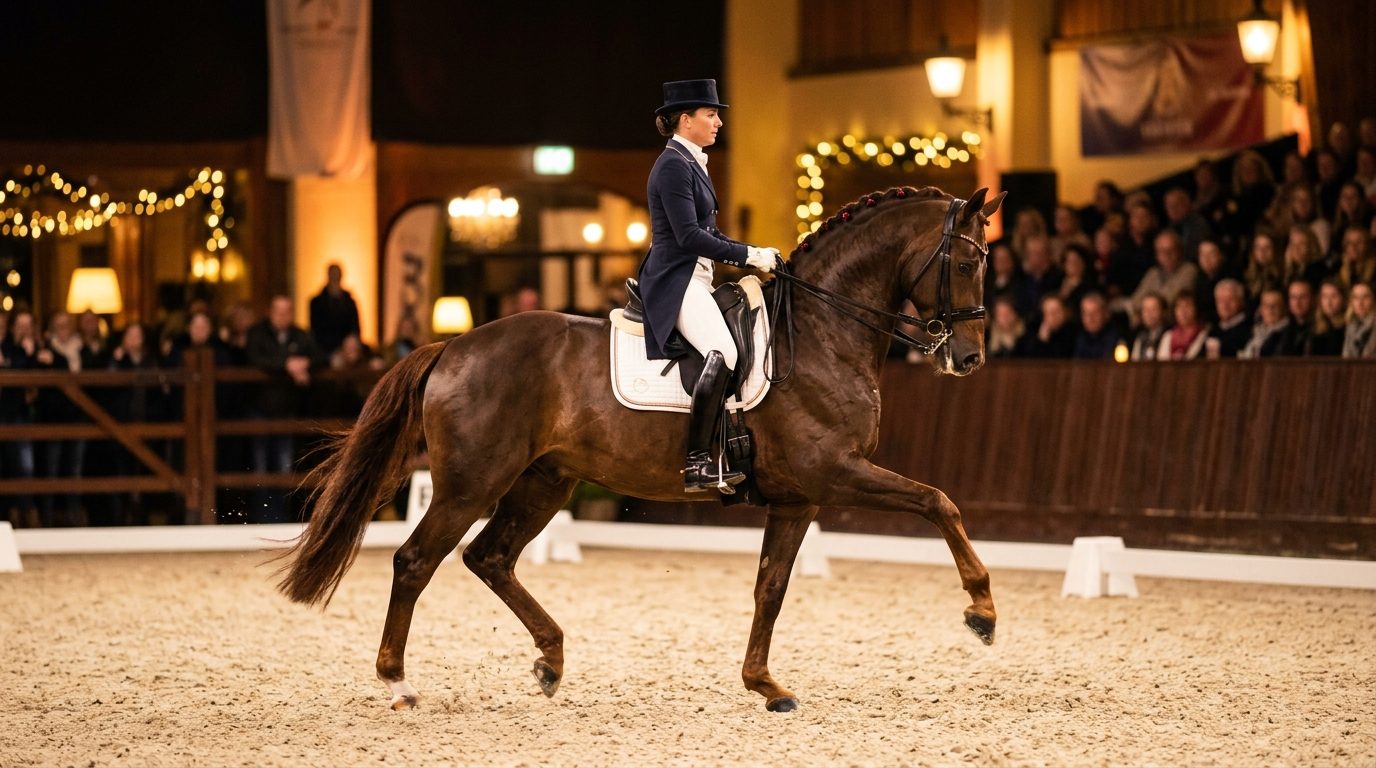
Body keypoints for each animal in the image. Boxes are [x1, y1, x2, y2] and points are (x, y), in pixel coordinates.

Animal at [278, 185, 1006, 713]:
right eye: (969, 263)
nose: (969, 358)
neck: (822, 330)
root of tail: (452, 345)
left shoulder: (798, 498)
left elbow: (770, 588)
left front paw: (765, 685)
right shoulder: (834, 472)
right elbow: (939, 501)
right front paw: (982, 611)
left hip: (545, 481)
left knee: (489, 558)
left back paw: (551, 660)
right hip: (471, 483)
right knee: (415, 561)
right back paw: (399, 683)